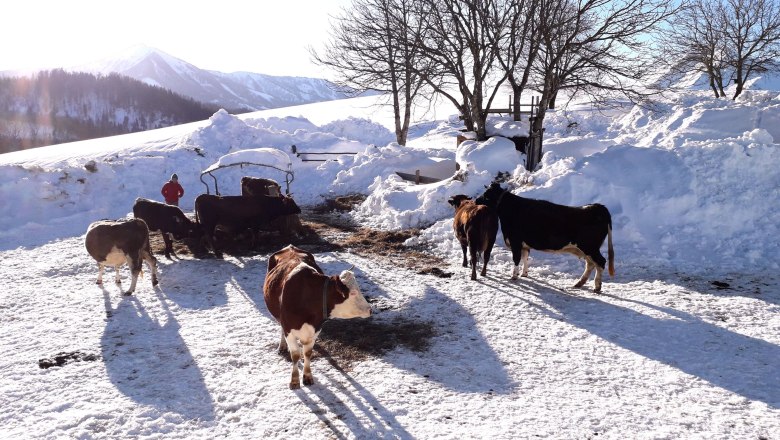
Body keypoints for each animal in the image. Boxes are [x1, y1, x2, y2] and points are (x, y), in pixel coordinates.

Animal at [262, 246, 372, 390]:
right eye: (353, 293)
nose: (370, 309)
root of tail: (290, 247)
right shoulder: (289, 328)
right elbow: (295, 355)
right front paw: (295, 380)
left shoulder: (316, 329)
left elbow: (307, 353)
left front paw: (307, 376)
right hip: (280, 319)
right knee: (281, 328)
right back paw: (282, 346)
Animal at [476, 182, 616, 292]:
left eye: (486, 195)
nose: (476, 200)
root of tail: (597, 207)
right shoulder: (524, 244)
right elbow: (525, 258)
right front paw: (524, 274)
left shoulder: (515, 240)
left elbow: (516, 258)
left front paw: (514, 276)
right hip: (586, 249)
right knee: (591, 264)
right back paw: (579, 283)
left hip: (590, 247)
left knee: (600, 262)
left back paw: (597, 286)